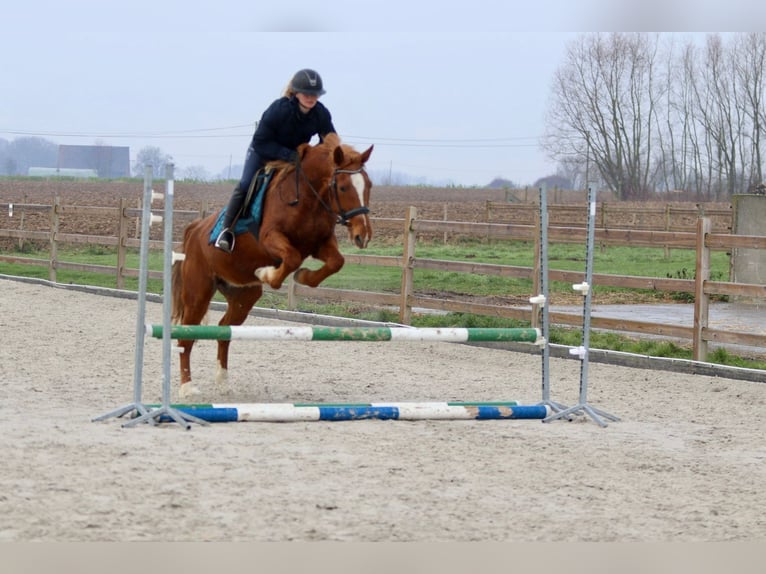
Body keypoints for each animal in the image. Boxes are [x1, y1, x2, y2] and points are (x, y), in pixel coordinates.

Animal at [171, 133, 374, 398]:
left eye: (369, 186)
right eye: (342, 187)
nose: (363, 235)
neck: (307, 198)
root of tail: (194, 229)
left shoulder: (319, 244)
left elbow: (336, 262)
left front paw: (303, 277)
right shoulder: (270, 239)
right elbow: (292, 258)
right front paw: (267, 273)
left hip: (243, 295)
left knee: (224, 330)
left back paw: (223, 381)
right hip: (198, 293)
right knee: (186, 338)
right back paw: (187, 388)